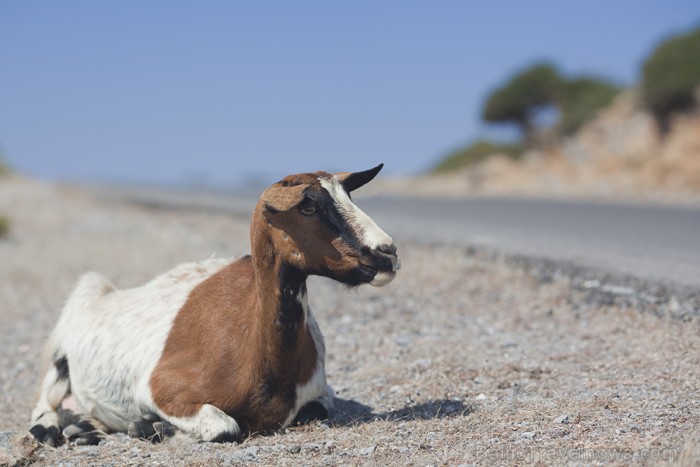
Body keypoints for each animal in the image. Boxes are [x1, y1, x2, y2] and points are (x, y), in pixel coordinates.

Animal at [28, 165, 400, 446]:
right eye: (308, 208)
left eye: (348, 197)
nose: (387, 252)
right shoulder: (162, 387)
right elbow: (225, 427)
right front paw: (150, 426)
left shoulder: (320, 389)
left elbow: (316, 410)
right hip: (69, 326)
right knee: (45, 398)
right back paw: (52, 427)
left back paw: (84, 427)